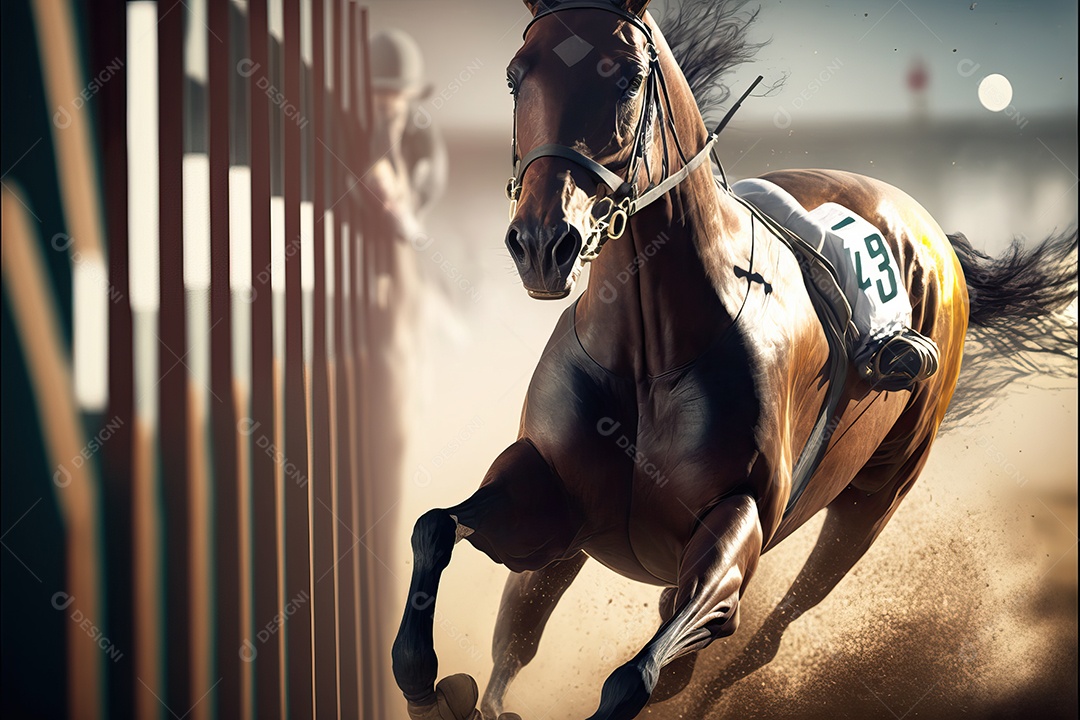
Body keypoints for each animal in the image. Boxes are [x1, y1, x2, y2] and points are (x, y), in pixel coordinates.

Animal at [391, 2, 1078, 718]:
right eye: (515, 75)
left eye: (627, 77)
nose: (542, 242)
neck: (648, 355)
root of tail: (930, 230)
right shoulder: (553, 496)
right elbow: (435, 531)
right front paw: (431, 686)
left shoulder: (735, 520)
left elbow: (636, 675)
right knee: (519, 631)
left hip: (877, 494)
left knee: (765, 638)